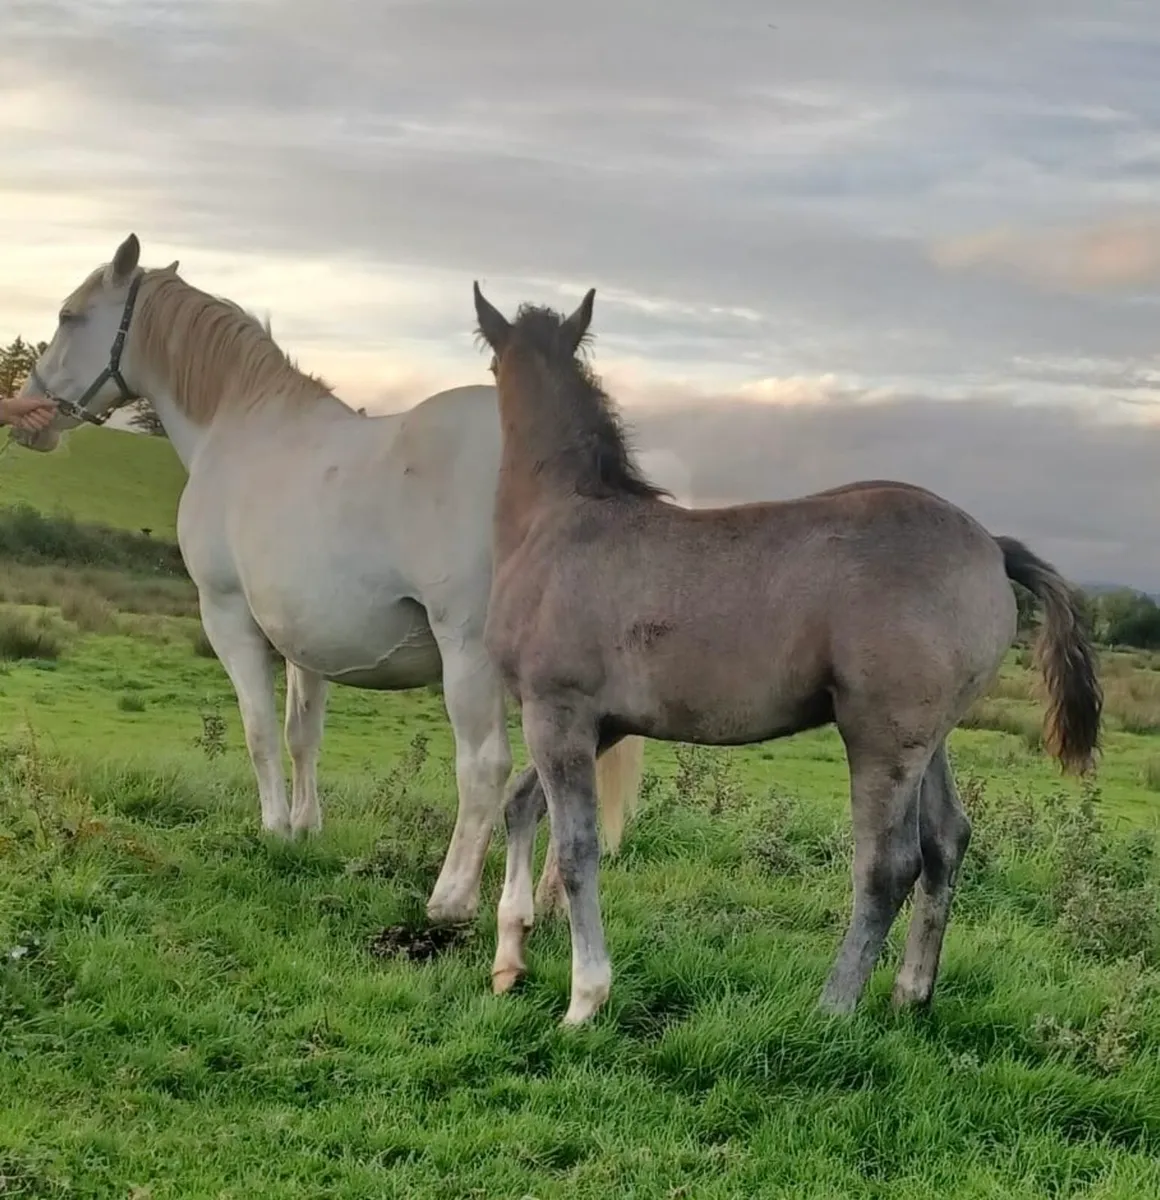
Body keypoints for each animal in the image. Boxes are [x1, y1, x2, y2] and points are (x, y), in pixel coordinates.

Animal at [11, 232, 645, 925]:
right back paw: (552, 900)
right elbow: (301, 734)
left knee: (484, 765)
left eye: (70, 315)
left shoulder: (228, 617)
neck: (241, 427)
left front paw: (273, 829)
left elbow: (259, 731)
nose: (29, 413)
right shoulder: (303, 639)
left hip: (470, 655)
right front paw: (305, 827)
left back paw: (451, 898)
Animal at [470, 281, 1103, 1026]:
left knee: (888, 865)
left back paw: (833, 1007)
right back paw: (909, 996)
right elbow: (520, 806)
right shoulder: (598, 724)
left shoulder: (558, 712)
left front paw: (584, 1002)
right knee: (947, 841)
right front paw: (508, 960)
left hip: (881, 739)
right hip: (930, 740)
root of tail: (992, 546)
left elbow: (575, 851)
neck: (557, 521)